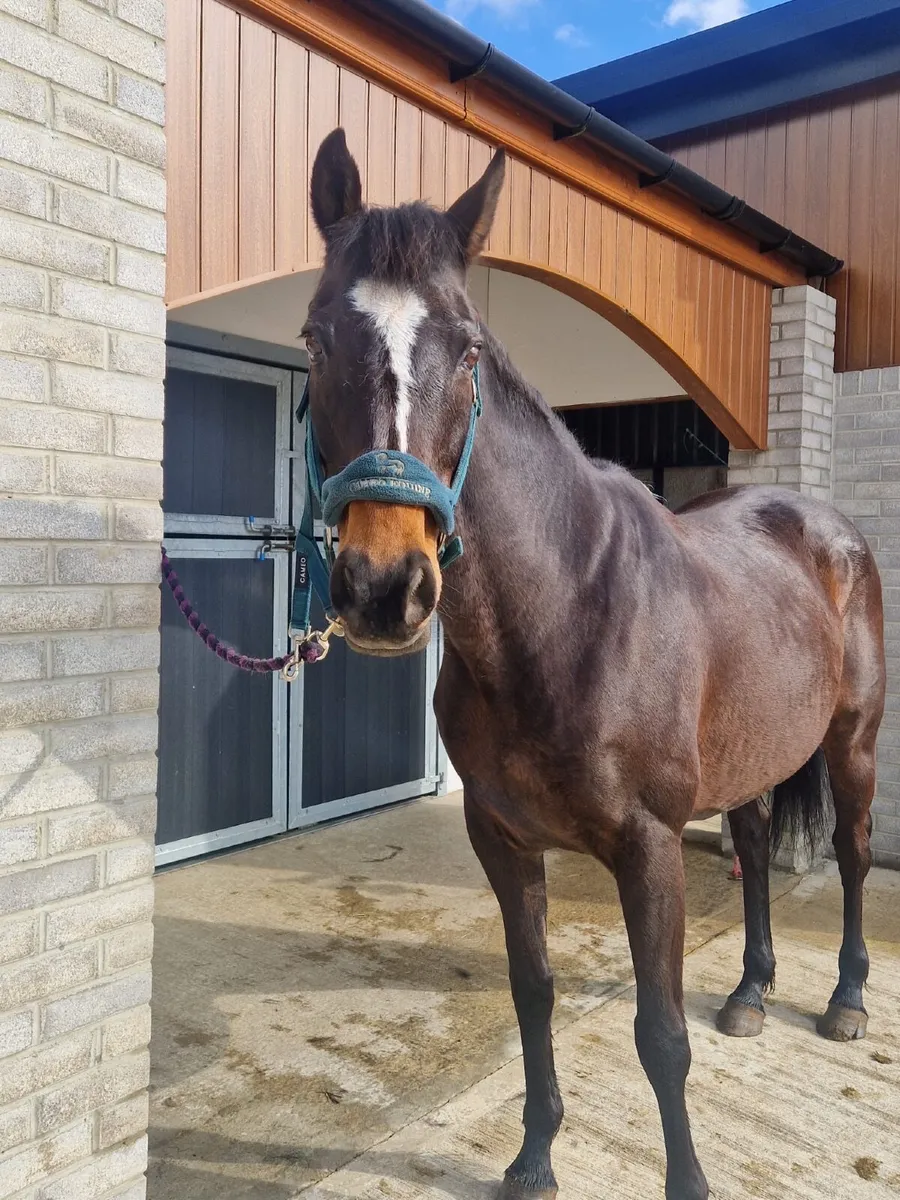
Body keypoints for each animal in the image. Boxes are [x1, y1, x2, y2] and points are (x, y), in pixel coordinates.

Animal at [301, 128, 885, 1200]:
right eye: (317, 338)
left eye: (469, 348)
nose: (384, 586)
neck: (569, 612)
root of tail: (823, 526)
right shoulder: (502, 840)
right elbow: (532, 992)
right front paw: (535, 1154)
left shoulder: (649, 848)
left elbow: (659, 1035)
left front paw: (686, 1179)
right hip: (752, 755)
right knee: (751, 847)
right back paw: (750, 992)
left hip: (853, 743)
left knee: (856, 855)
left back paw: (847, 1000)